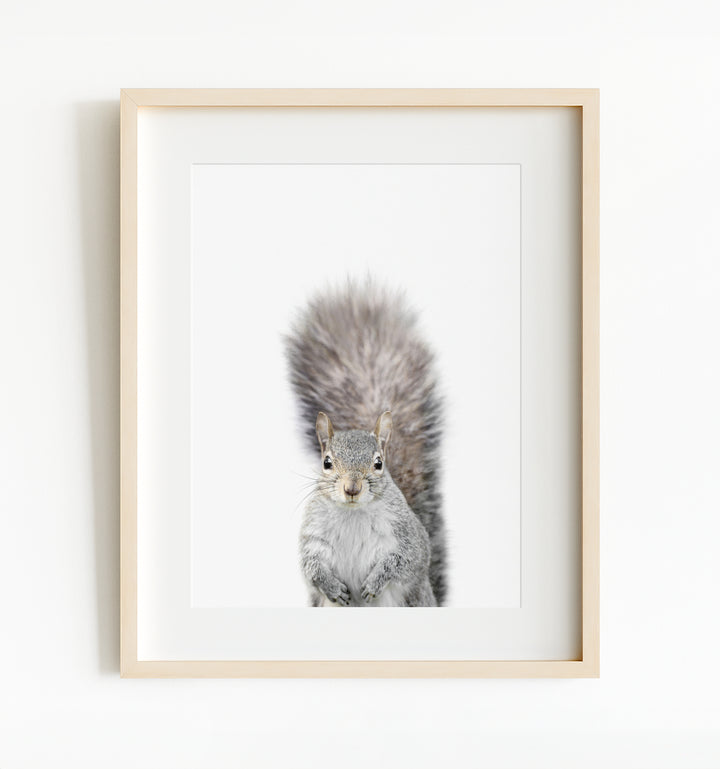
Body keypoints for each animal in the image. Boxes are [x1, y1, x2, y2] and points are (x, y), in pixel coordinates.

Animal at [284, 281, 447, 607]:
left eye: (378, 463)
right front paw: (333, 587)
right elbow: (311, 568)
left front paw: (374, 582)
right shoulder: (313, 538)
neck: (352, 513)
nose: (352, 488)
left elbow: (403, 560)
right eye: (327, 462)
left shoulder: (408, 539)